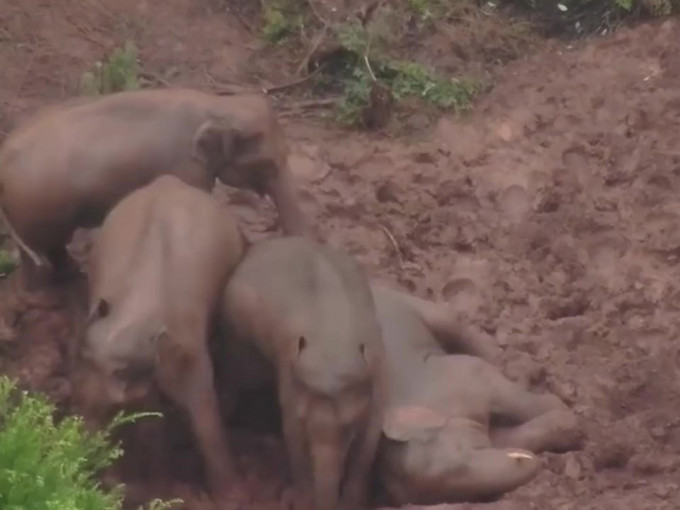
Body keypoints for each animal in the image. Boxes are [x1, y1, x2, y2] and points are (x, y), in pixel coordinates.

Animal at [71, 174, 247, 506]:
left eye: (115, 411)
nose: (116, 489)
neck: (133, 318)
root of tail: (168, 181)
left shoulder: (186, 347)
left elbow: (202, 408)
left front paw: (230, 497)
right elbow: (152, 417)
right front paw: (160, 488)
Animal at [219, 237, 386, 510]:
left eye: (349, 428)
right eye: (306, 423)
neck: (333, 342)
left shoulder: (380, 369)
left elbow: (369, 441)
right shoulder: (289, 375)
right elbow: (293, 435)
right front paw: (303, 499)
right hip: (238, 330)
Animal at [372, 282, 584, 506]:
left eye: (461, 452)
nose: (532, 461)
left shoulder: (475, 375)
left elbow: (522, 401)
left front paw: (565, 412)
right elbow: (510, 433)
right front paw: (568, 424)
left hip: (431, 312)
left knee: (460, 328)